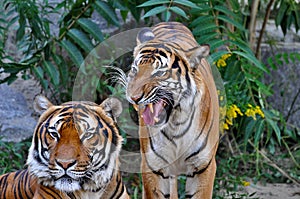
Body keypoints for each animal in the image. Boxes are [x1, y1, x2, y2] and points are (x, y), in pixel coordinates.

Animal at [124, 21, 220, 198]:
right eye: (135, 70)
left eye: (159, 73)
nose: (133, 97)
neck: (176, 124)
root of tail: (171, 22)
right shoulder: (152, 167)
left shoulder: (204, 167)